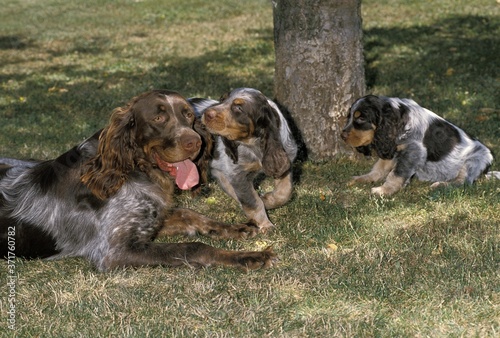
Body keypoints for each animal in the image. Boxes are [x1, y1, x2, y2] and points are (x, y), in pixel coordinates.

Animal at [0, 90, 278, 272]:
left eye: (188, 115)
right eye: (158, 119)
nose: (195, 142)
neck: (133, 170)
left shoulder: (150, 219)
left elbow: (190, 214)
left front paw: (235, 228)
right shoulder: (114, 251)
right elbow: (193, 247)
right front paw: (249, 257)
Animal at [342, 94, 494, 195]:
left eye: (361, 118)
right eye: (349, 117)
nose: (342, 135)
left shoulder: (412, 151)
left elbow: (396, 173)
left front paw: (383, 190)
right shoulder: (392, 148)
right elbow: (379, 167)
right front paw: (363, 179)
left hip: (474, 160)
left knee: (463, 182)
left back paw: (440, 185)